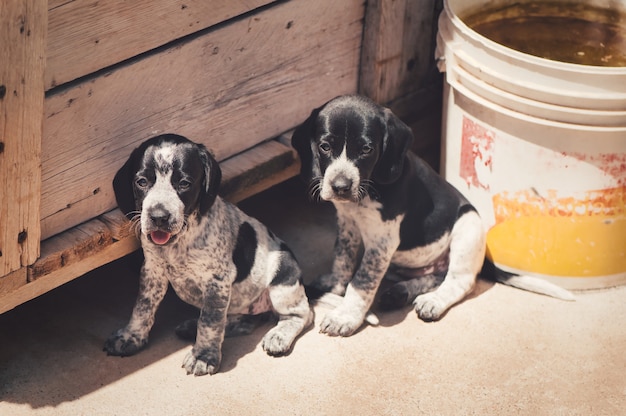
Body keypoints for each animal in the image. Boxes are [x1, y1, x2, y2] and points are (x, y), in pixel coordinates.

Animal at [105, 135, 316, 376]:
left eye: (184, 183)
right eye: (141, 182)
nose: (158, 217)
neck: (179, 241)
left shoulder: (217, 281)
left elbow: (210, 321)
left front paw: (203, 356)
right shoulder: (152, 271)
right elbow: (143, 306)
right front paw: (131, 336)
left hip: (284, 276)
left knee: (302, 314)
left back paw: (278, 335)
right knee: (243, 321)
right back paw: (193, 327)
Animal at [290, 93, 572, 334]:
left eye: (366, 150)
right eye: (325, 146)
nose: (340, 187)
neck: (369, 190)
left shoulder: (382, 242)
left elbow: (362, 282)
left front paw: (346, 316)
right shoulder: (347, 224)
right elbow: (343, 259)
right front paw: (336, 285)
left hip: (468, 226)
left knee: (459, 281)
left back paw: (433, 301)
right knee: (435, 276)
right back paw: (401, 292)